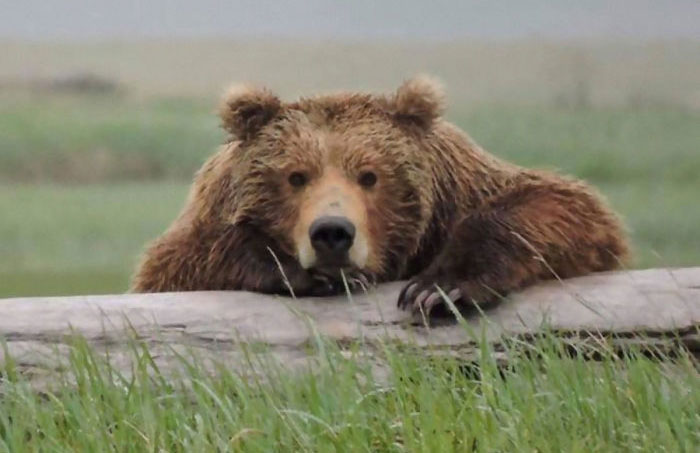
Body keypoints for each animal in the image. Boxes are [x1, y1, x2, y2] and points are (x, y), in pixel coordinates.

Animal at [131, 75, 629, 315]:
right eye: (296, 176)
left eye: (369, 176)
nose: (332, 233)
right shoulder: (207, 217)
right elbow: (177, 261)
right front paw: (302, 271)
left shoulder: (459, 190)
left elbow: (563, 207)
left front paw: (437, 289)